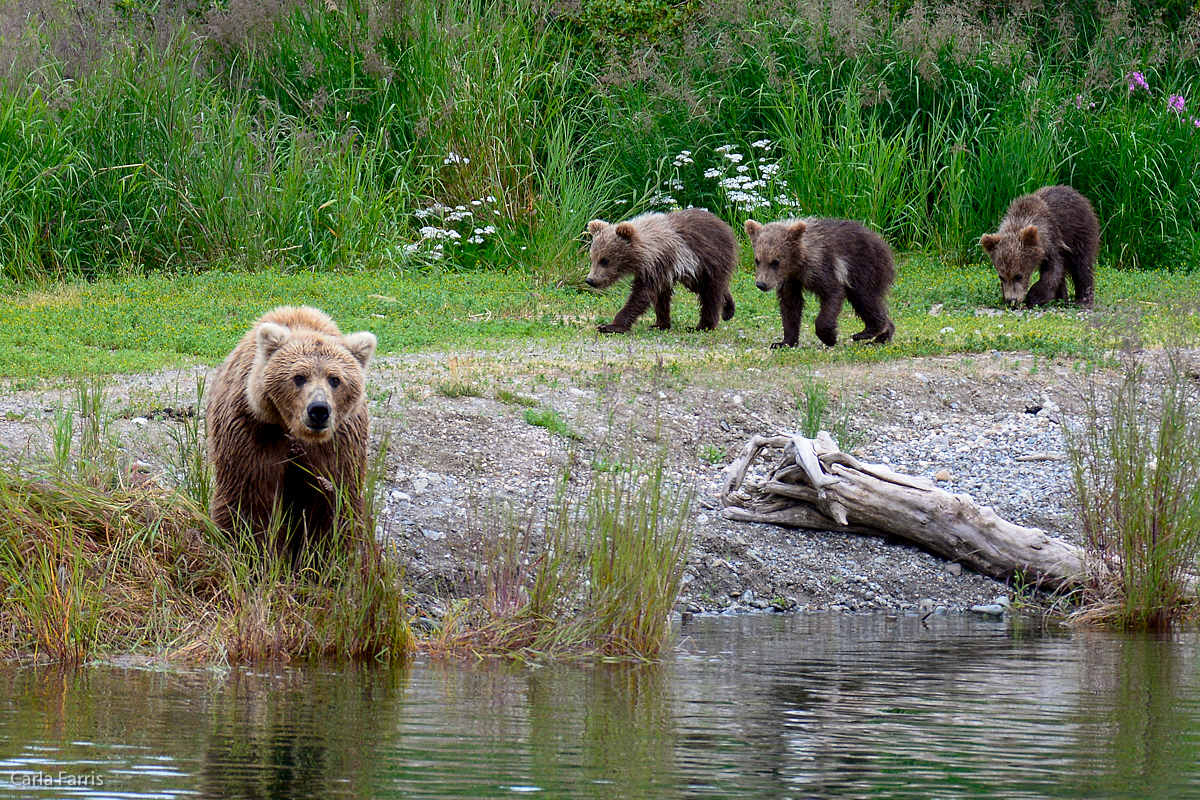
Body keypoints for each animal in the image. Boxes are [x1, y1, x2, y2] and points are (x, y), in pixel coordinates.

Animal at [206, 303, 374, 561]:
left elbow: (331, 502)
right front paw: (253, 553)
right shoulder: (254, 431)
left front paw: (323, 557)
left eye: (335, 379)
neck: (292, 429)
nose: (318, 410)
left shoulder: (337, 443)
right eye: (299, 377)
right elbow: (250, 500)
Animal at [583, 208, 734, 333]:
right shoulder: (661, 270)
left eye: (604, 260)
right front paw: (660, 324)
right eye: (592, 258)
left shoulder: (658, 265)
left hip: (710, 261)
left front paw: (610, 326)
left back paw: (704, 325)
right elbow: (660, 296)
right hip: (696, 272)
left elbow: (641, 295)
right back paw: (728, 310)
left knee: (711, 294)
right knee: (709, 288)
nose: (590, 280)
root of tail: (724, 224)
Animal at [744, 217, 897, 347]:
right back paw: (881, 336)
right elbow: (790, 305)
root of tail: (883, 243)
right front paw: (783, 342)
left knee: (864, 297)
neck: (798, 262)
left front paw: (829, 337)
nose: (761, 284)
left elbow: (833, 293)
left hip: (864, 268)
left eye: (775, 262)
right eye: (757, 260)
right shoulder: (789, 279)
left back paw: (867, 332)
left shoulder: (821, 266)